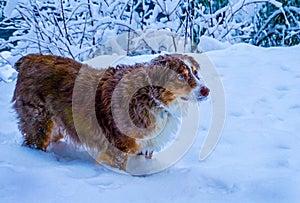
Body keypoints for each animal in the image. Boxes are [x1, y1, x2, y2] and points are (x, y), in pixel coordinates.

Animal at [11, 54, 209, 171]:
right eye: (181, 76)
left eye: (196, 73)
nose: (207, 90)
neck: (151, 99)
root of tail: (28, 59)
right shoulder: (119, 148)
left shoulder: (144, 147)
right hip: (39, 123)